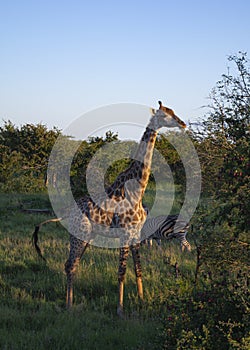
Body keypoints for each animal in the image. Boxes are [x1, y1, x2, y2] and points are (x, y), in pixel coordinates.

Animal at [59, 100, 186, 316]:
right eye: (164, 115)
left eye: (173, 111)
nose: (183, 123)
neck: (137, 190)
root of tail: (70, 211)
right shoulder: (125, 235)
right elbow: (121, 272)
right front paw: (120, 309)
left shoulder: (136, 235)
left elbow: (138, 268)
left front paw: (142, 300)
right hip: (78, 235)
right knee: (69, 265)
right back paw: (68, 305)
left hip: (87, 237)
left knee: (73, 265)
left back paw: (72, 302)